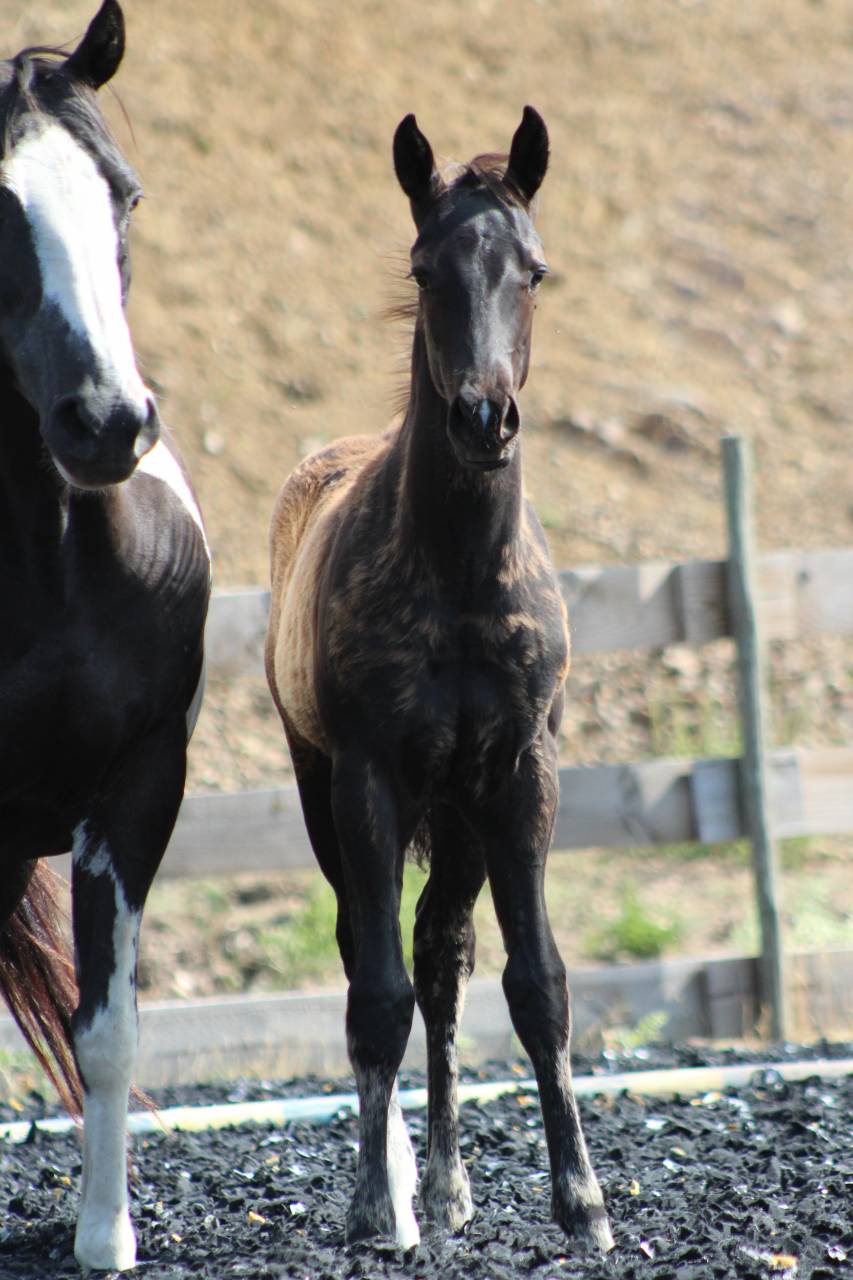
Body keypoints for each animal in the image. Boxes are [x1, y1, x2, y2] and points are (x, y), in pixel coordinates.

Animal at [266, 107, 613, 1253]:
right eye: (425, 269)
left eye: (534, 270)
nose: (482, 418)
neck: (458, 576)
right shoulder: (367, 779)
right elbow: (374, 995)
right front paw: (376, 1204)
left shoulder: (521, 774)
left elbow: (534, 982)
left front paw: (582, 1202)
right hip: (325, 792)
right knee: (375, 957)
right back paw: (401, 1183)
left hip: (459, 813)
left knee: (442, 956)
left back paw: (453, 1184)